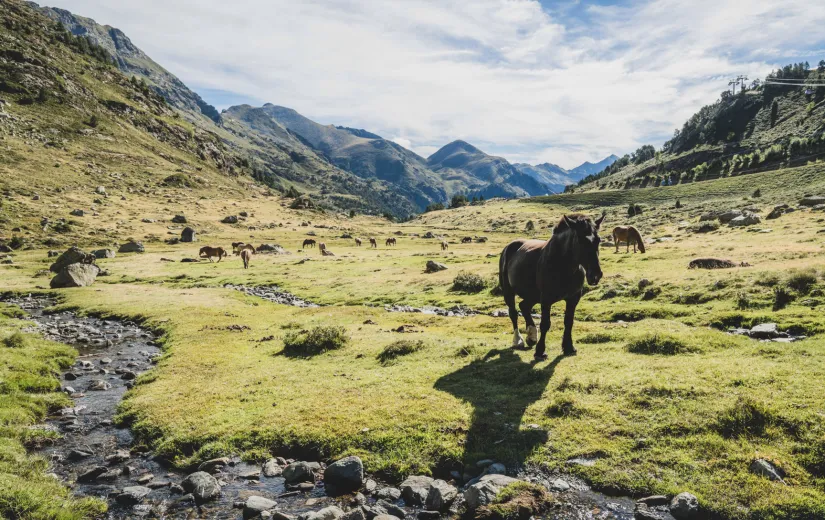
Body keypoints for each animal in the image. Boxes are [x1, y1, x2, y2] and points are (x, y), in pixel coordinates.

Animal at [496, 213, 604, 360]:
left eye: (598, 240)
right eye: (580, 240)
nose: (595, 275)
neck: (564, 266)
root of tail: (509, 247)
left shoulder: (573, 298)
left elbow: (568, 322)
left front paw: (569, 347)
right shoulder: (546, 299)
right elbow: (545, 324)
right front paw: (540, 351)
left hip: (533, 295)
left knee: (524, 306)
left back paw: (531, 336)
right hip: (509, 291)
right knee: (513, 313)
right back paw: (518, 340)